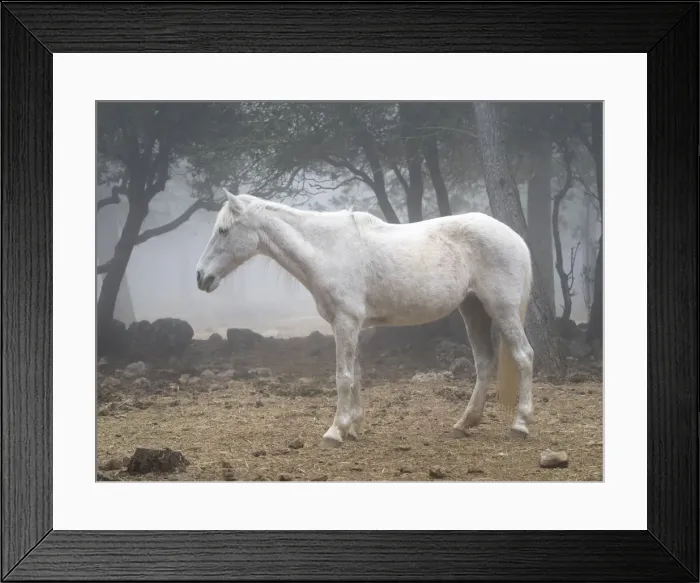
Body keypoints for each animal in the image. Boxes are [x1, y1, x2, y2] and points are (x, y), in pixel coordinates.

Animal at [196, 188, 534, 448]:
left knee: (523, 356)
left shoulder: (345, 322)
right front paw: (354, 427)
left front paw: (335, 431)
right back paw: (464, 422)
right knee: (485, 363)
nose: (201, 277)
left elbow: (343, 377)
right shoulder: (351, 326)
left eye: (223, 230)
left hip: (502, 310)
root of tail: (515, 238)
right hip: (473, 310)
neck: (327, 249)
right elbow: (356, 374)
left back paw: (520, 424)